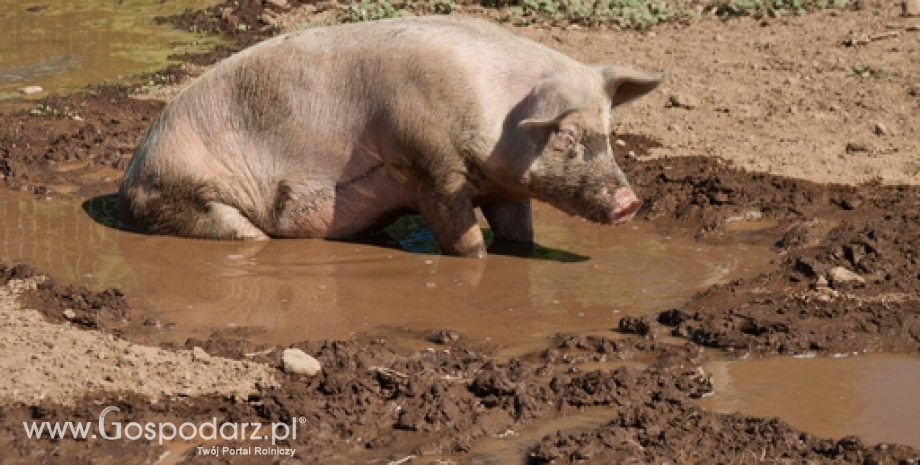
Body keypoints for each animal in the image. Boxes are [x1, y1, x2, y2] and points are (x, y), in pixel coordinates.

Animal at [118, 15, 664, 258]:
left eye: (608, 130)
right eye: (566, 132)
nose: (630, 203)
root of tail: (129, 178)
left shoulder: (505, 188)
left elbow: (520, 234)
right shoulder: (428, 164)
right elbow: (462, 236)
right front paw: (477, 259)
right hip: (191, 196)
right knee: (240, 232)